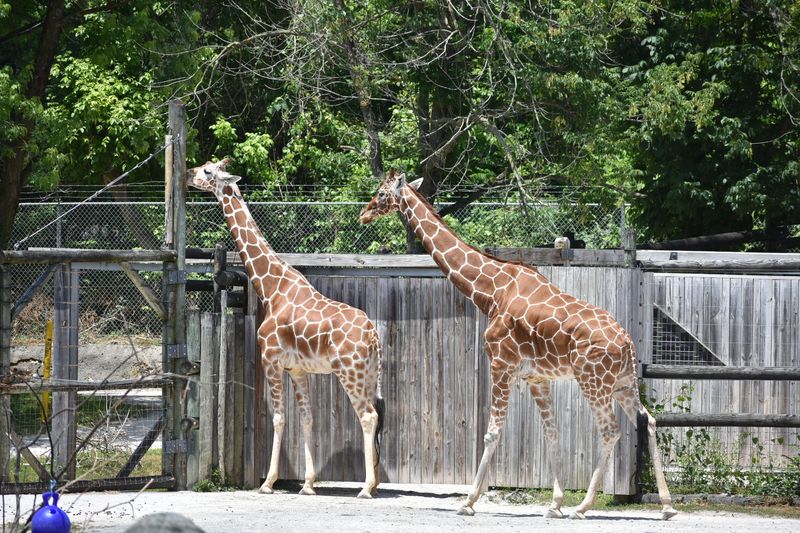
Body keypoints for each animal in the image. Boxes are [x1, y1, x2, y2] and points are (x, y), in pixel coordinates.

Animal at [188, 158, 384, 498]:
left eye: (209, 172)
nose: (189, 174)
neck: (270, 287)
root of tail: (373, 335)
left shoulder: (271, 359)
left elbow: (279, 419)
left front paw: (268, 482)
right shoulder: (298, 369)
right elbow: (307, 419)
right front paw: (308, 484)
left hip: (349, 372)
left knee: (368, 416)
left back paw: (366, 488)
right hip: (370, 373)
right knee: (376, 413)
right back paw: (374, 483)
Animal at [359, 170, 676, 520]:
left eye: (381, 193)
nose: (363, 214)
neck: (491, 291)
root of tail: (628, 342)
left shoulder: (501, 363)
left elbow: (492, 432)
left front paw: (468, 502)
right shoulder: (536, 377)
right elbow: (551, 432)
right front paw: (554, 504)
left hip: (593, 381)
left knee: (611, 430)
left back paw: (584, 506)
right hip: (622, 383)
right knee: (649, 421)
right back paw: (666, 505)